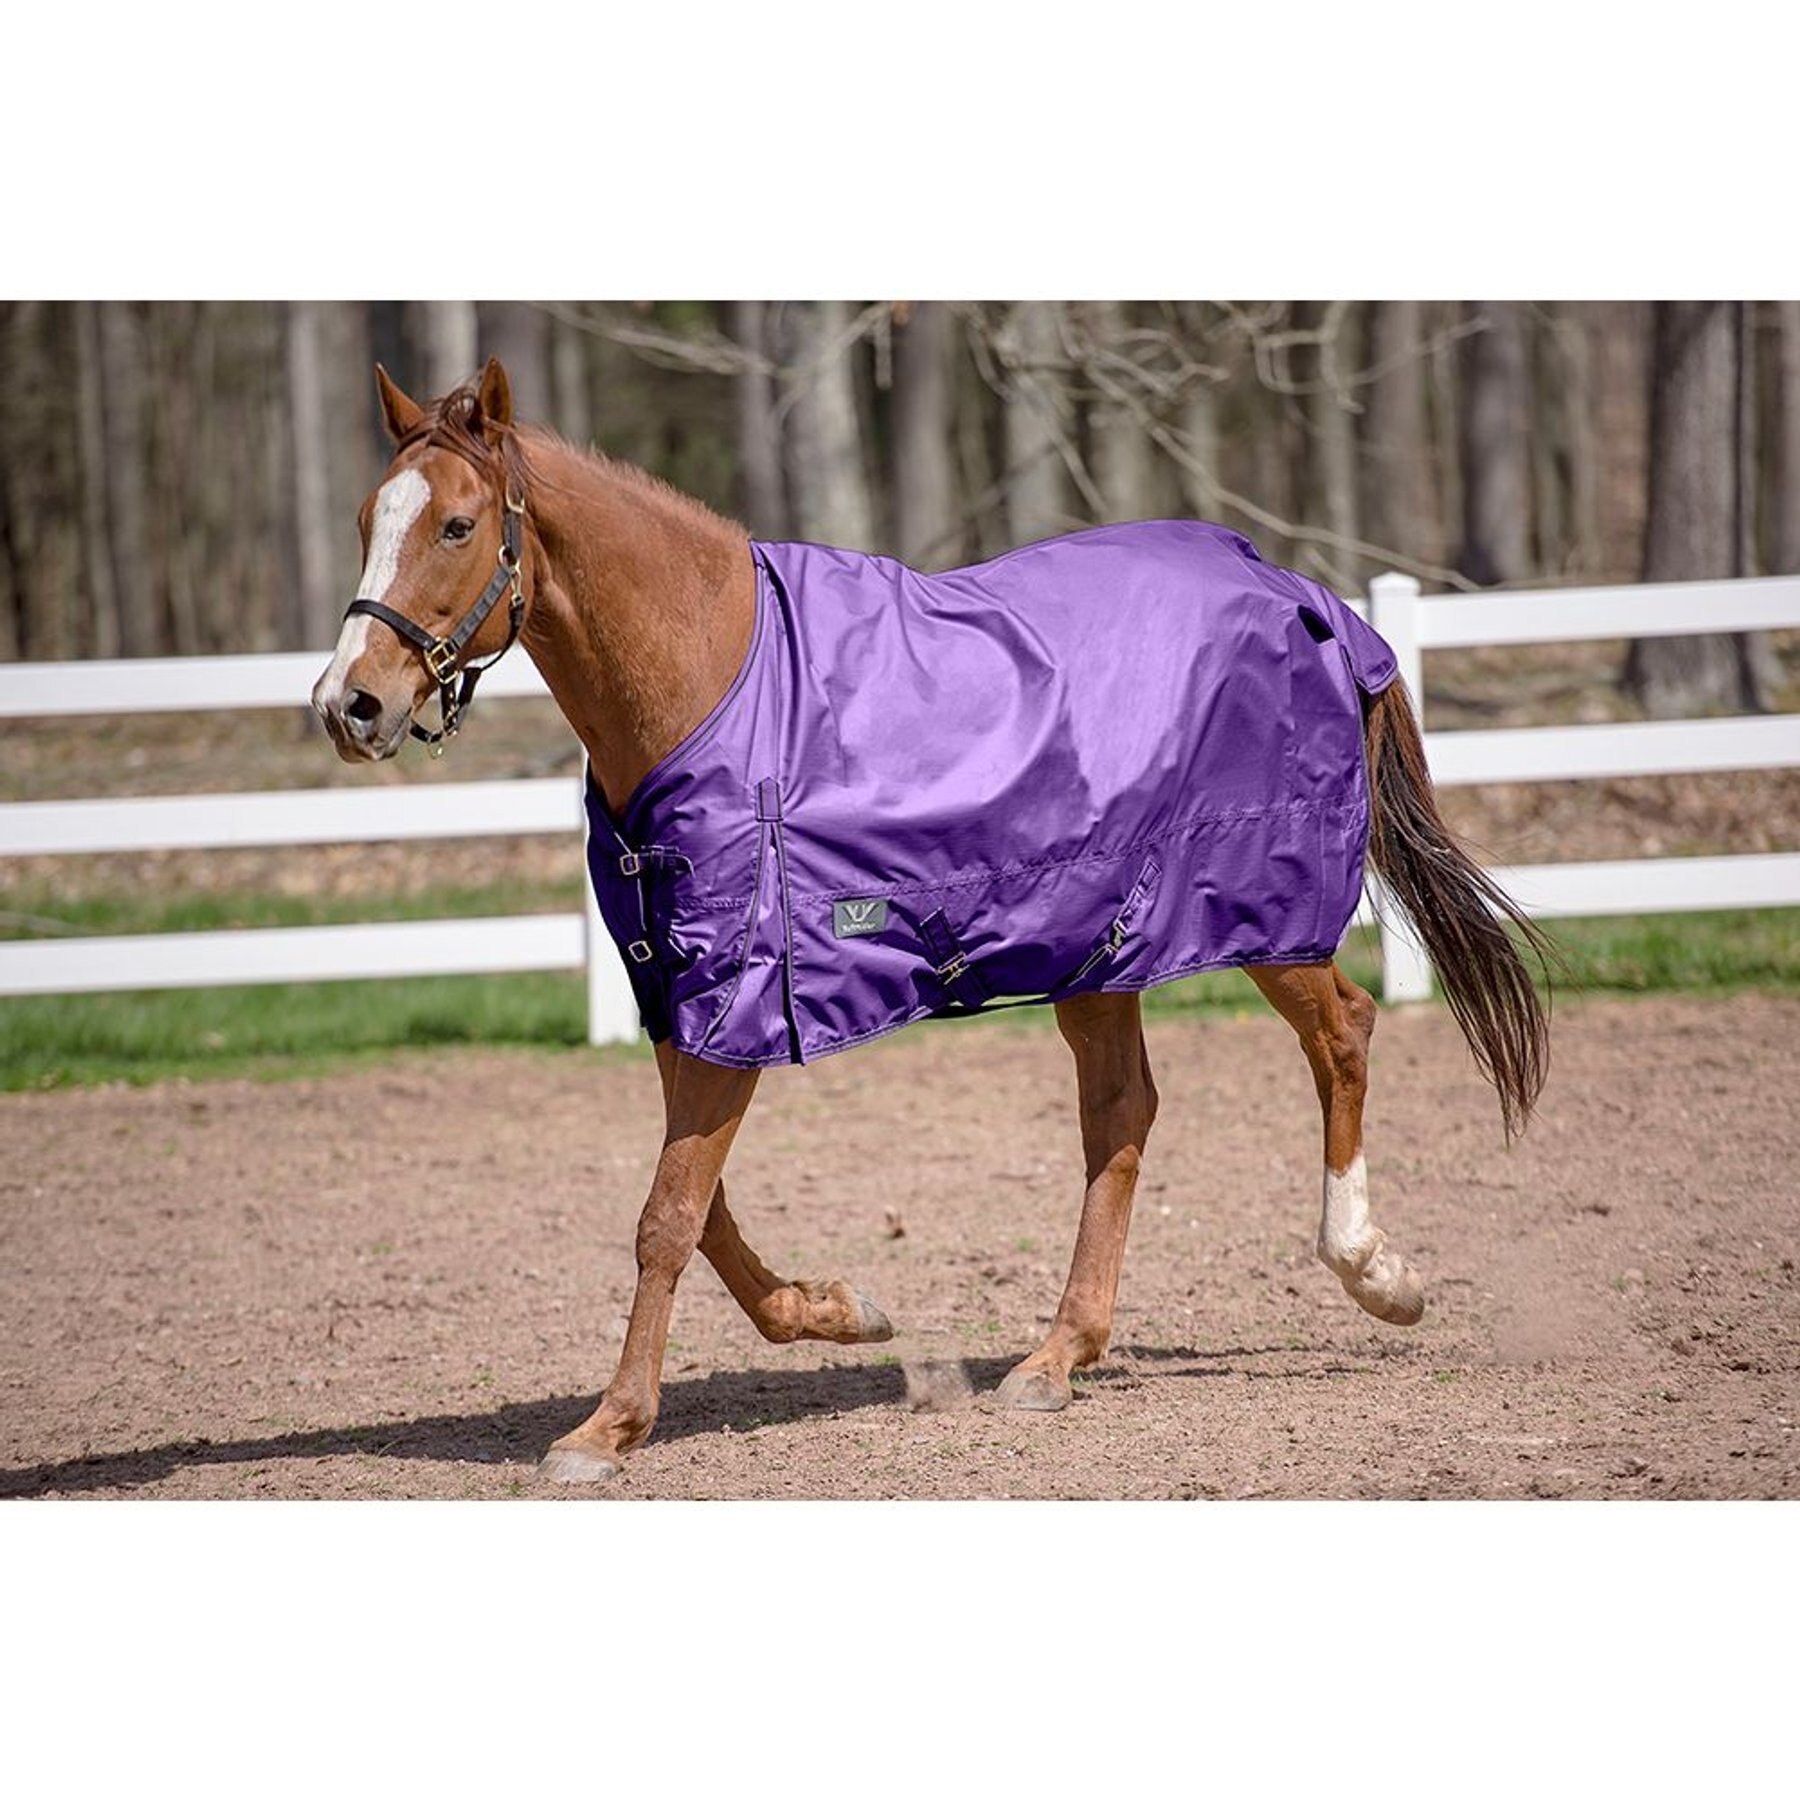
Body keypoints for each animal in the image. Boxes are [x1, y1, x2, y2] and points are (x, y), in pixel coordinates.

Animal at [312, 357, 1550, 1486]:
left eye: (458, 524)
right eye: (369, 519)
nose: (347, 704)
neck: (714, 682)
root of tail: (1307, 597)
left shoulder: (740, 1004)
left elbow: (666, 1216)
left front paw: (606, 1432)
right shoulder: (683, 998)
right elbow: (700, 1208)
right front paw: (836, 1310)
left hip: (1258, 914)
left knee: (1341, 1032)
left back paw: (1375, 1276)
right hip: (1100, 945)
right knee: (1124, 1112)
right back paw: (1055, 1359)